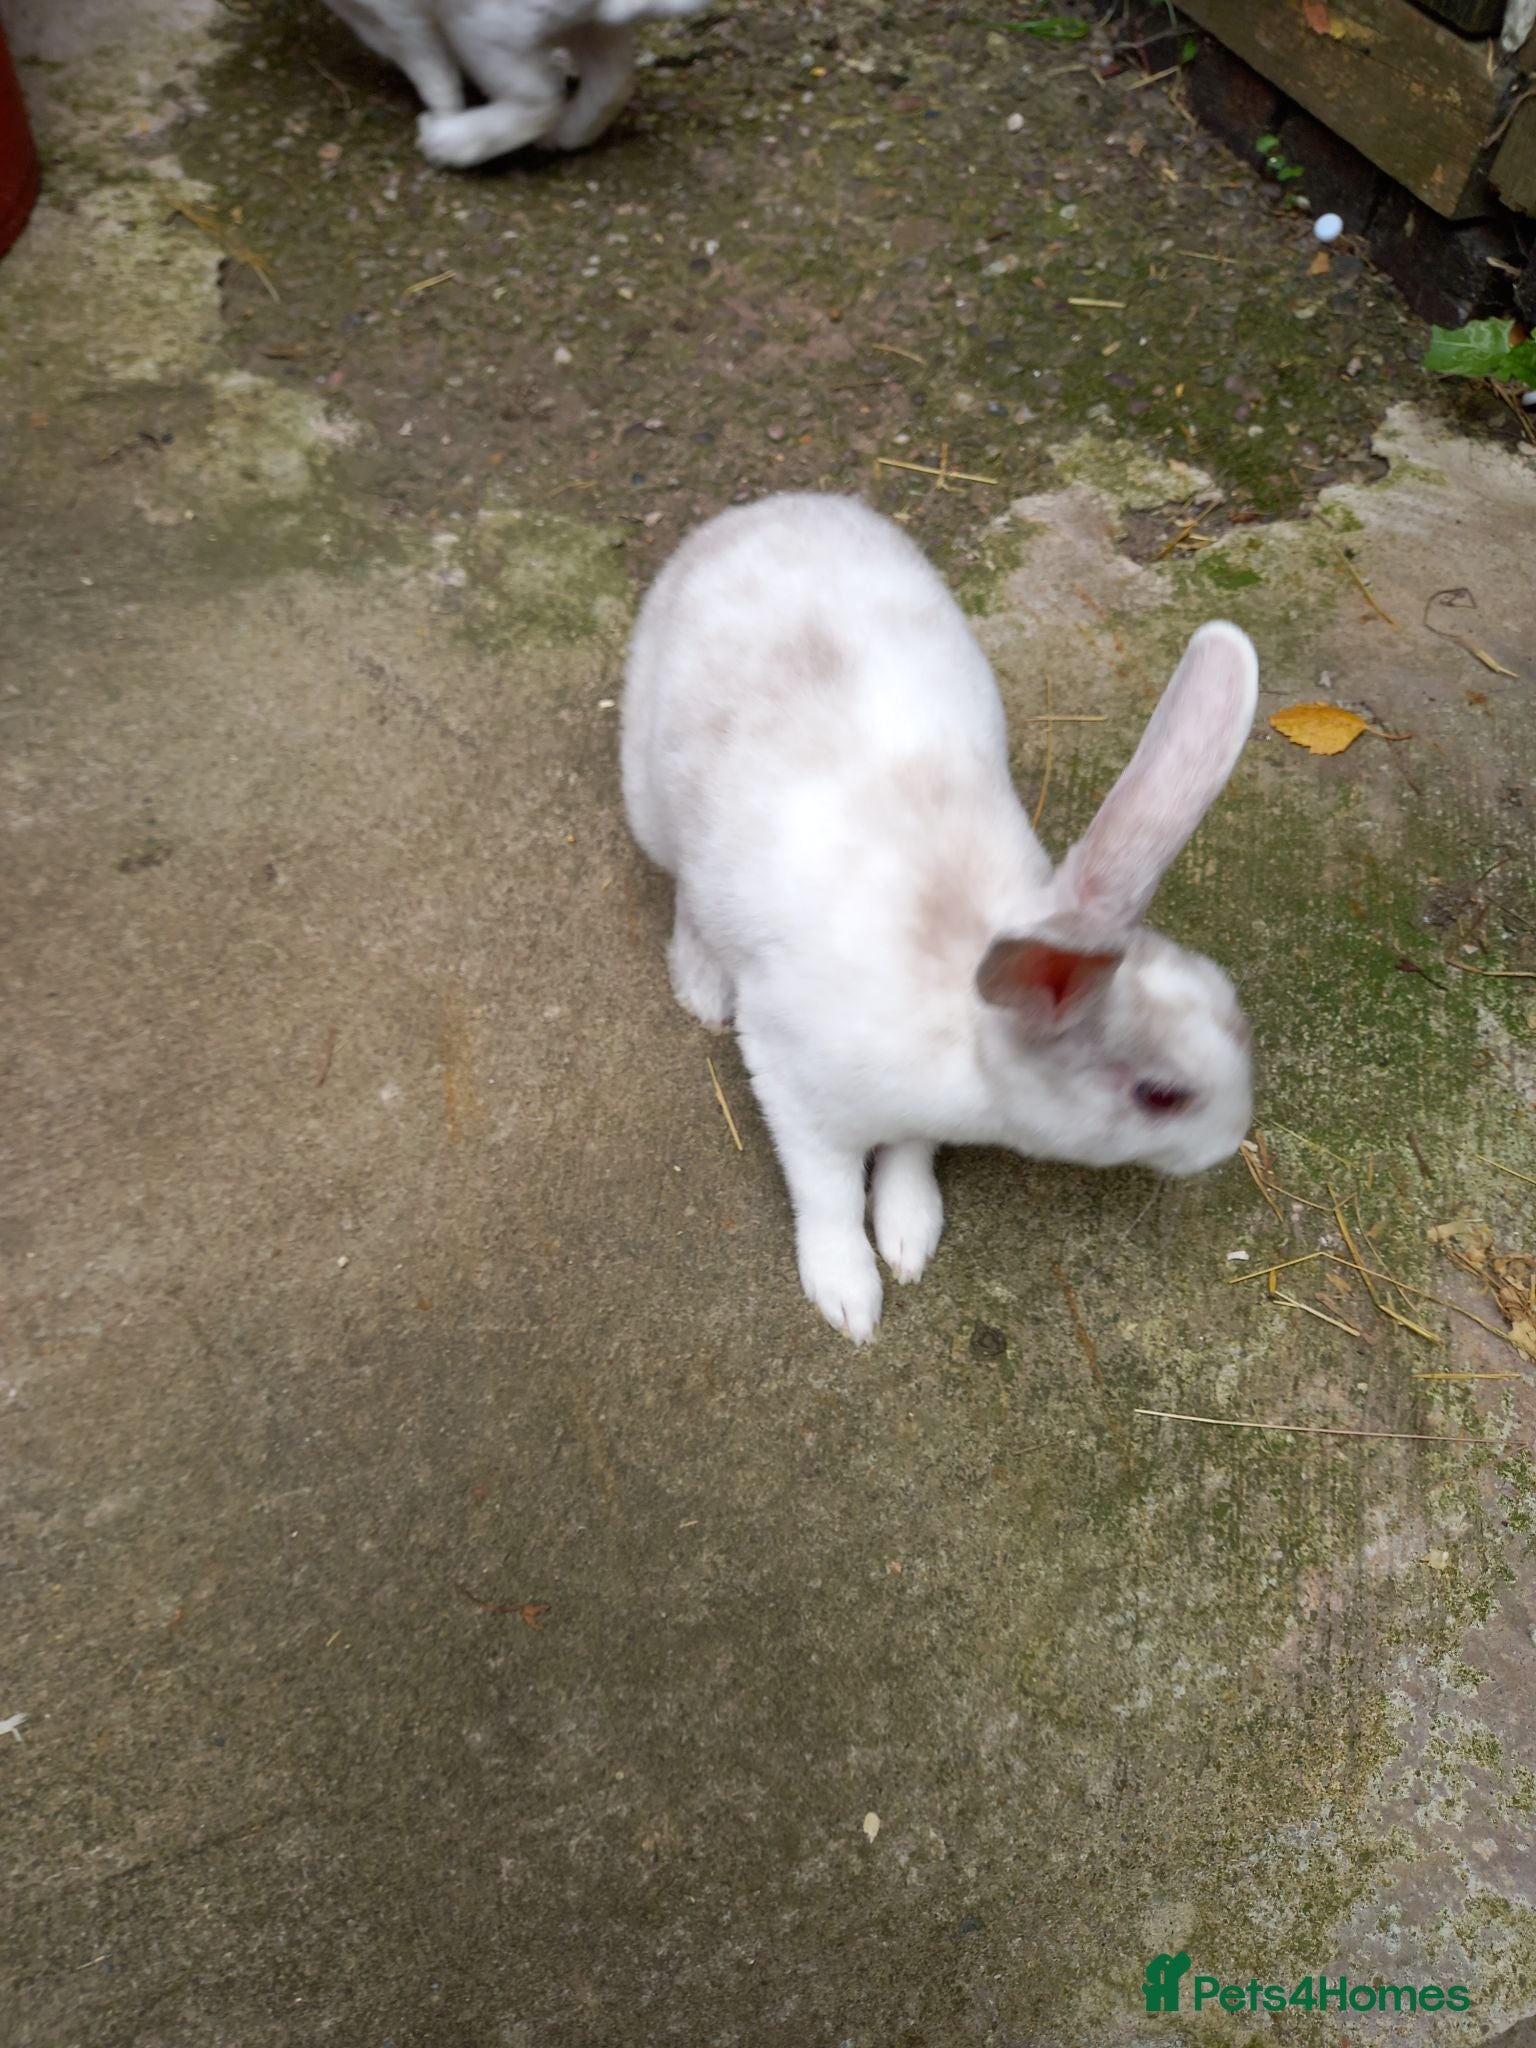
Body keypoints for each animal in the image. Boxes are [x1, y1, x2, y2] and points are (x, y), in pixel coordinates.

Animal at [319, 0, 709, 168]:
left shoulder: (395, 14)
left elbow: (424, 60)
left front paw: (441, 114)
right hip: (592, 29)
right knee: (612, 84)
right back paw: (561, 138)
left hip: (484, 35)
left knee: (539, 101)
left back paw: (446, 142)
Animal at [622, 493, 1259, 1342]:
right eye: (1159, 1095)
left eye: (1231, 1003)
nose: (1229, 1143)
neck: (968, 1018)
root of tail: (769, 509)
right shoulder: (793, 1089)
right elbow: (826, 1195)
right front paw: (850, 1297)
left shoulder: (912, 1116)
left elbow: (910, 1154)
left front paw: (909, 1234)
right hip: (653, 805)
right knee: (686, 895)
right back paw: (701, 988)